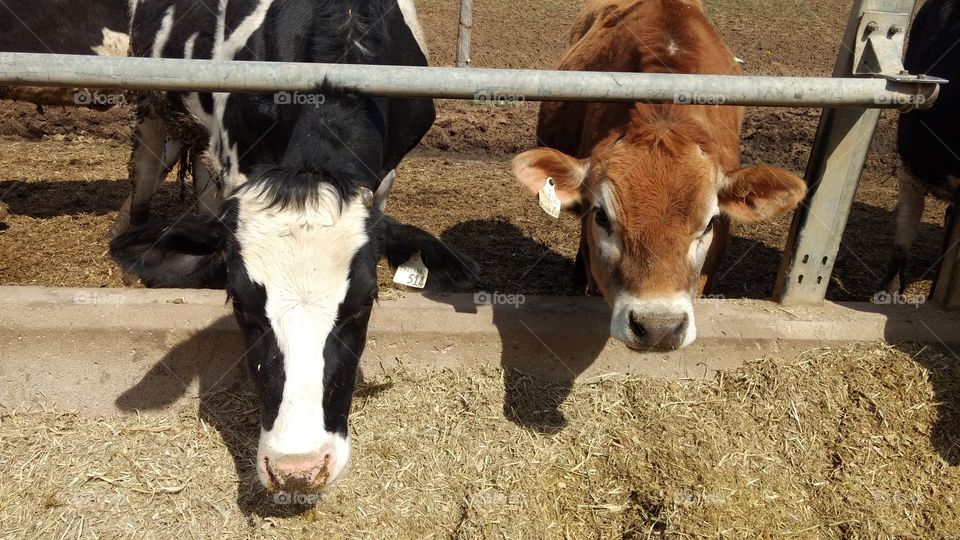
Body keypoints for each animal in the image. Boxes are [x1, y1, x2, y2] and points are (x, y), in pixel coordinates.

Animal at [110, 0, 478, 495]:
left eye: (366, 302)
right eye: (239, 302)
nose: (298, 469)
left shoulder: (385, 177)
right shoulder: (239, 162)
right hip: (150, 104)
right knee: (146, 176)